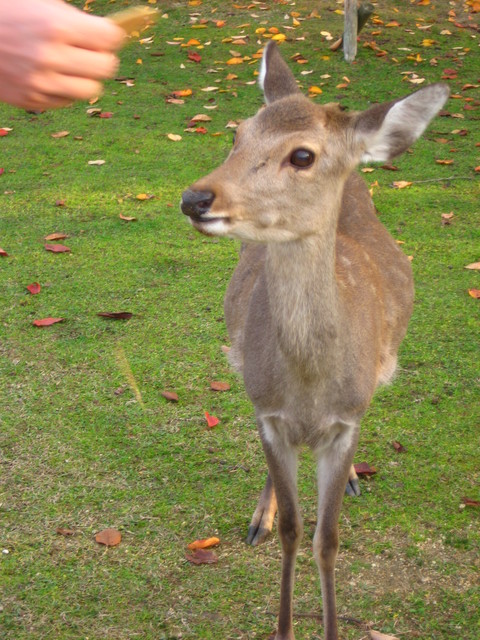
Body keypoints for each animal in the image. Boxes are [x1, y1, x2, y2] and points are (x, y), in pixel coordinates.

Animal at [180, 41, 450, 640]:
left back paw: (349, 480)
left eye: (302, 156)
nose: (195, 198)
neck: (309, 385)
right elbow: (293, 530)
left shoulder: (347, 419)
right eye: (237, 133)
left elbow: (327, 540)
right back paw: (259, 517)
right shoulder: (268, 413)